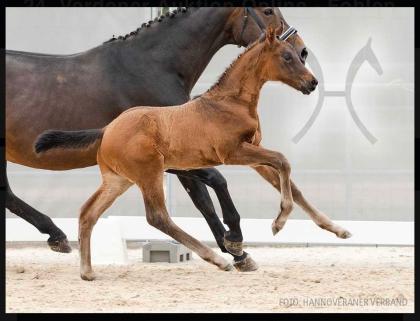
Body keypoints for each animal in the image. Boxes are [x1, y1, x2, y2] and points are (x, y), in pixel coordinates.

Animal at [35, 26, 352, 278]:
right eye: (287, 57)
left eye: (299, 56)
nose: (312, 83)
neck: (230, 102)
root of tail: (107, 130)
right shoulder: (233, 152)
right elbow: (283, 162)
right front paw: (278, 222)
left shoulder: (253, 151)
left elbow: (291, 184)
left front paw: (337, 229)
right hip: (149, 173)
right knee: (157, 217)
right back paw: (218, 259)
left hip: (118, 180)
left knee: (88, 212)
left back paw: (87, 271)